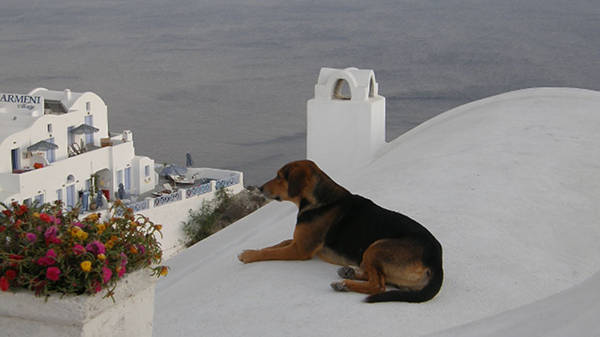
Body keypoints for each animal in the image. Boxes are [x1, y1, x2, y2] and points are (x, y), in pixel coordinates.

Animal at [237, 160, 442, 302]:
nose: (259, 188)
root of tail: (436, 259)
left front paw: (248, 255)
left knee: (378, 286)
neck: (320, 200)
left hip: (377, 246)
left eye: (280, 176)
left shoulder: (300, 249)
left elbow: (270, 252)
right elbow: (276, 245)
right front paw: (254, 249)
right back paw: (349, 273)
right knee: (377, 277)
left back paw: (344, 284)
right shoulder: (298, 241)